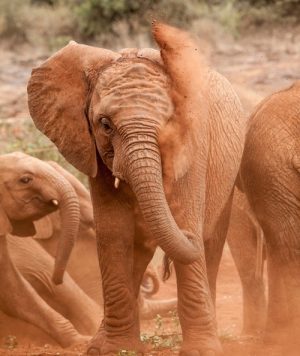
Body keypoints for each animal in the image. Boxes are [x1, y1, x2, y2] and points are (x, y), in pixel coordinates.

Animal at [27, 23, 246, 356]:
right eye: (104, 124)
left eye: (169, 122)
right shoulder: (94, 152)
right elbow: (114, 232)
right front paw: (113, 350)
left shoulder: (193, 146)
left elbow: (187, 222)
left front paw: (202, 351)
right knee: (141, 250)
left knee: (211, 243)